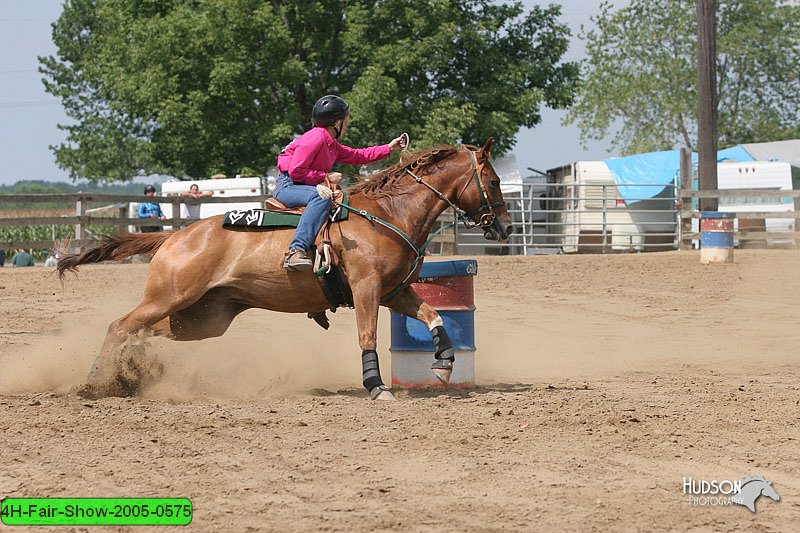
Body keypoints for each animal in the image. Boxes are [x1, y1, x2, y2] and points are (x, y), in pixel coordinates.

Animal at [59, 137, 516, 400]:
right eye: (493, 181)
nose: (506, 227)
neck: (388, 214)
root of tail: (174, 237)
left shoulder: (394, 292)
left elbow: (434, 315)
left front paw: (443, 363)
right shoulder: (367, 289)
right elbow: (367, 335)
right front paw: (376, 386)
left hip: (202, 318)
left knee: (143, 332)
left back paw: (130, 375)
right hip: (171, 296)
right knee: (120, 326)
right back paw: (95, 383)